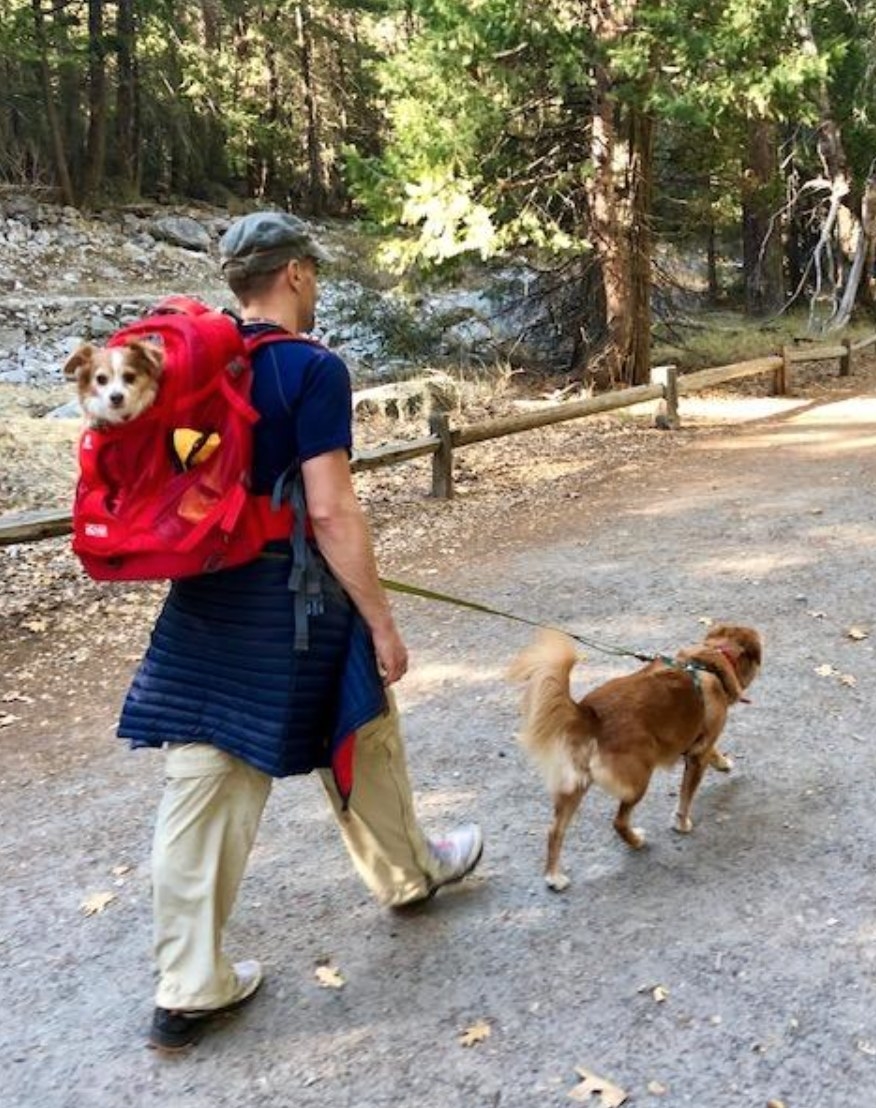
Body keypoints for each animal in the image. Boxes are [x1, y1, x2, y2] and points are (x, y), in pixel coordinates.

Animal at [509, 624, 761, 890]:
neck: (711, 660)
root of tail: (590, 715)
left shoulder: (699, 744)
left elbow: (714, 752)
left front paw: (723, 763)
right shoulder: (697, 756)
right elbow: (685, 797)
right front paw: (681, 824)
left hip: (573, 787)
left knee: (554, 831)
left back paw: (553, 877)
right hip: (639, 779)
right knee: (618, 822)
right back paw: (636, 841)